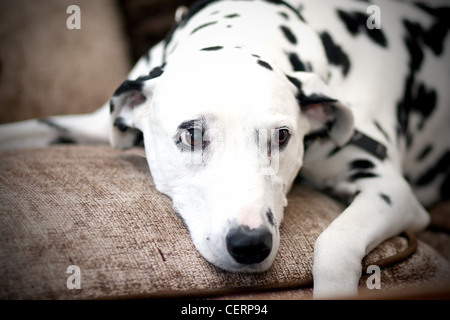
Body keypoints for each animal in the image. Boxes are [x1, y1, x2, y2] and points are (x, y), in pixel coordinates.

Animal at [0, 0, 450, 298]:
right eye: (190, 135)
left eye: (282, 136)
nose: (250, 245)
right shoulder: (89, 124)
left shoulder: (391, 192)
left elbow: (334, 245)